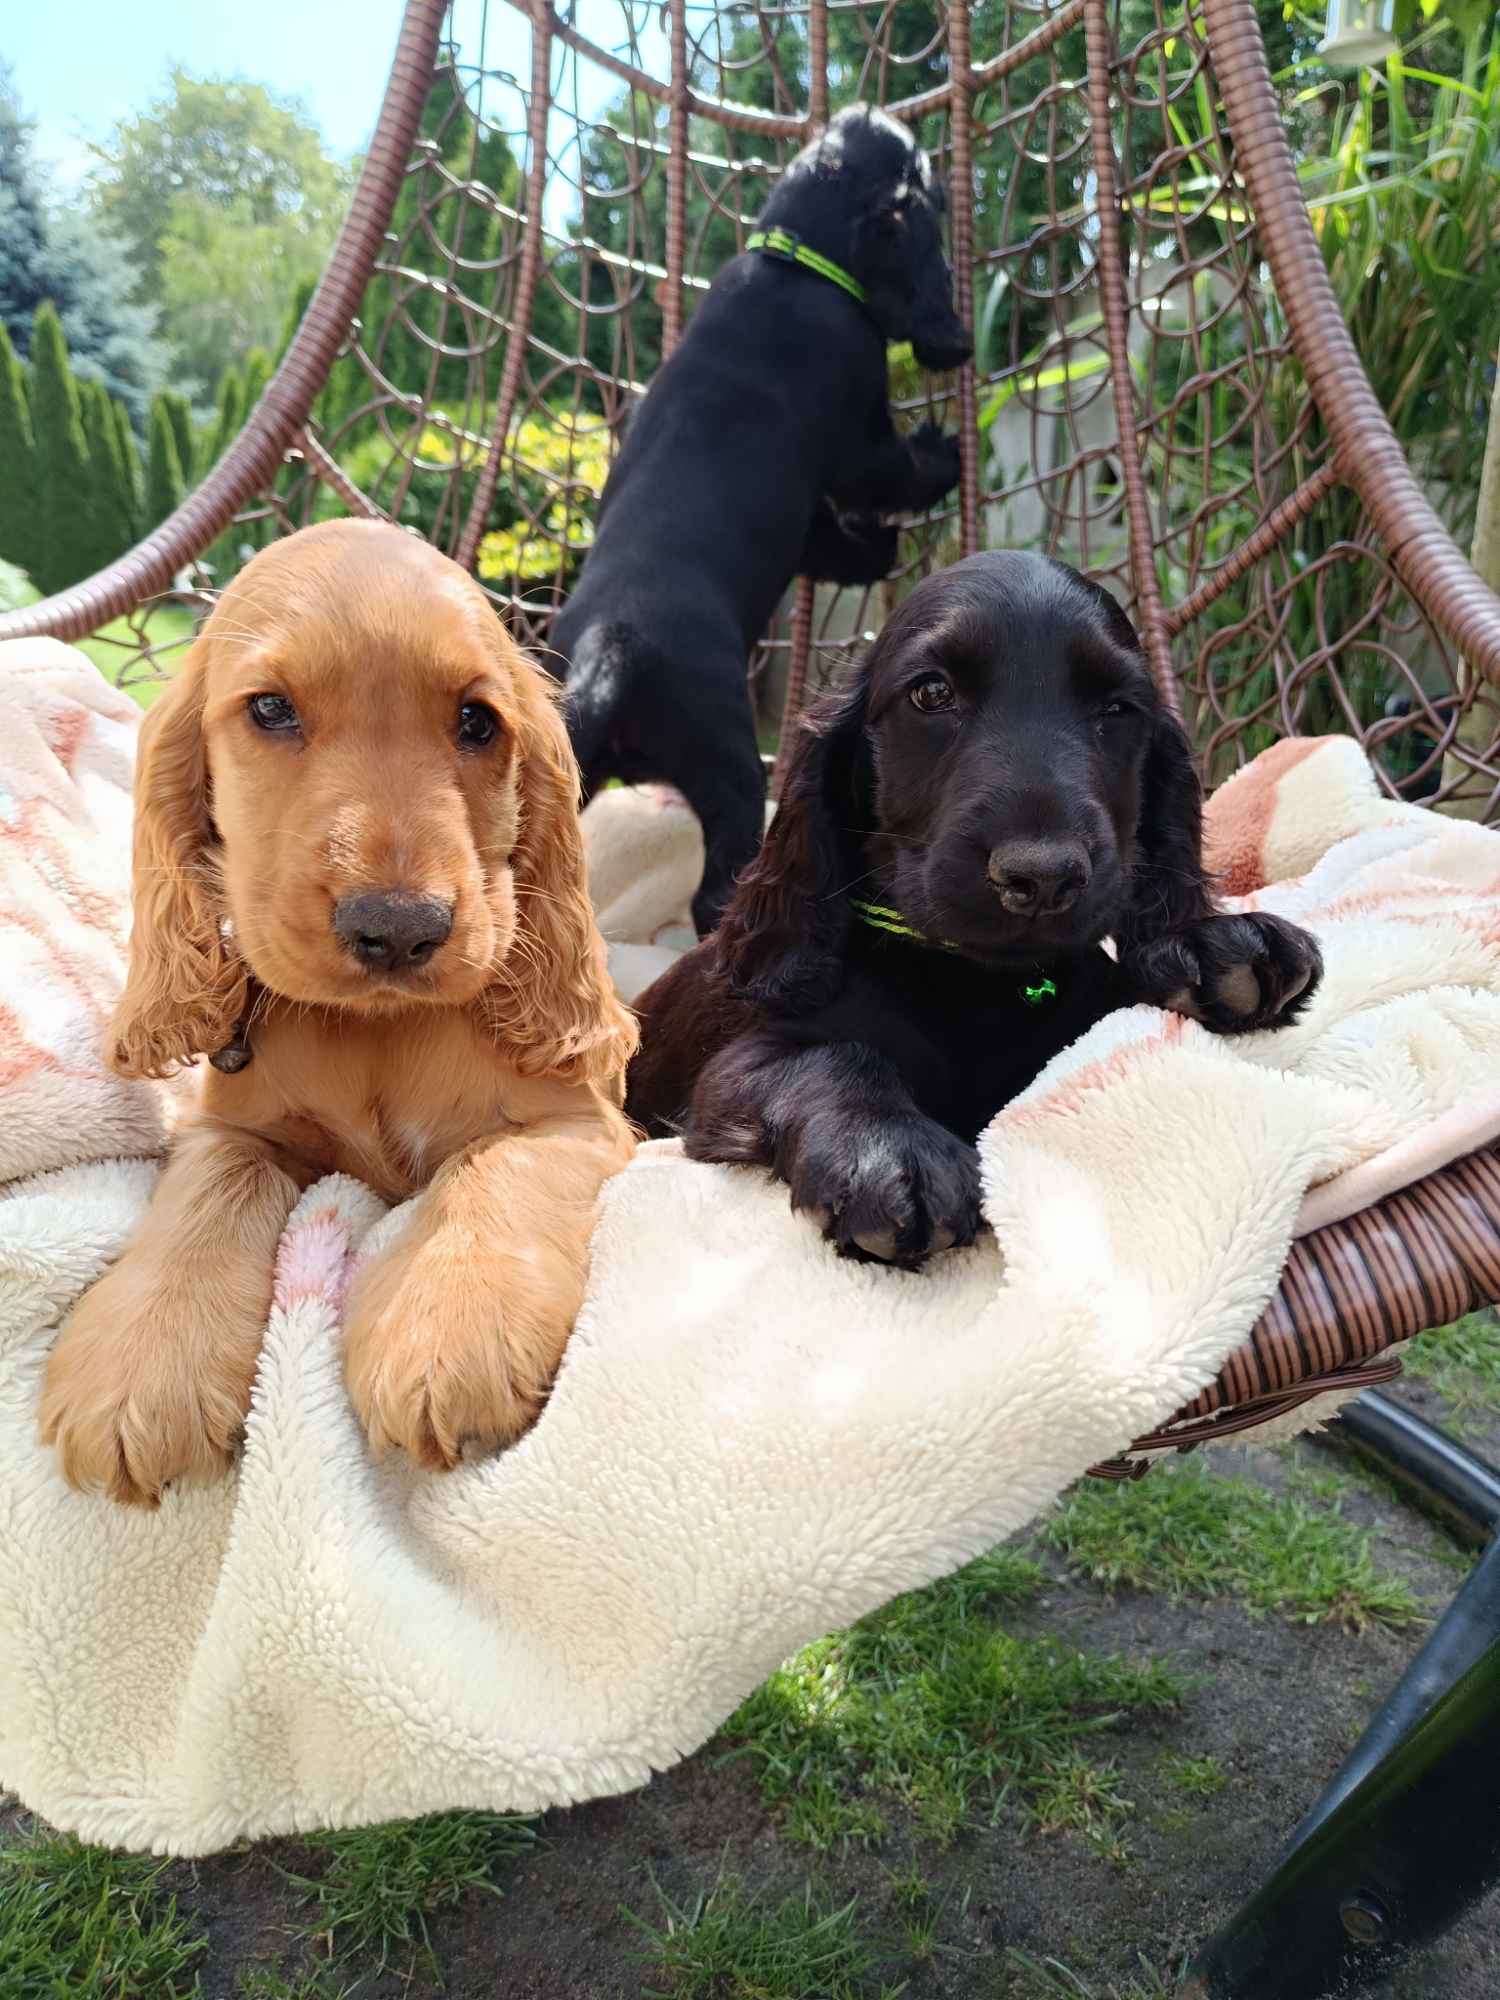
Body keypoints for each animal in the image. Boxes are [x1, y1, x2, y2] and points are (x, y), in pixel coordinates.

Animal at [41, 516, 640, 1504]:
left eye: (478, 721)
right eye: (271, 711)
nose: (397, 930)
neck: (374, 1034)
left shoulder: (579, 1121)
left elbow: (494, 1167)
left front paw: (449, 1327)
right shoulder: (230, 1129)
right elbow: (209, 1191)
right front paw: (139, 1365)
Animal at [556, 99, 976, 928]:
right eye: (915, 164)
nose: (870, 106)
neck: (796, 258)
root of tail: (606, 651)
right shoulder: (854, 438)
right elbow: (890, 475)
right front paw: (937, 464)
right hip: (728, 764)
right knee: (718, 884)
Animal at [624, 548, 1328, 1264]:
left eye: (1117, 707)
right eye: (932, 694)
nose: (1041, 877)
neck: (975, 982)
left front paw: (1210, 945)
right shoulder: (729, 1073)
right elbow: (825, 1056)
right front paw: (890, 1149)